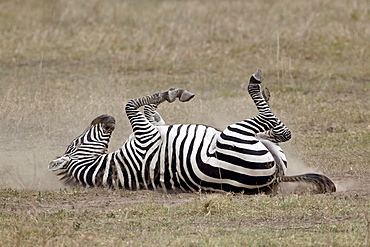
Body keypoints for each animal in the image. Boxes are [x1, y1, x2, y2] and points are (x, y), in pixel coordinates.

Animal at [48, 70, 336, 195]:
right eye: (75, 142)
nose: (105, 118)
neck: (108, 166)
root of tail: (274, 179)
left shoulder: (151, 128)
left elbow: (149, 110)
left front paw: (172, 93)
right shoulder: (145, 136)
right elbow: (130, 105)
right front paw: (171, 94)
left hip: (265, 148)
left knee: (274, 133)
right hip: (233, 134)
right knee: (278, 128)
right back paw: (256, 85)